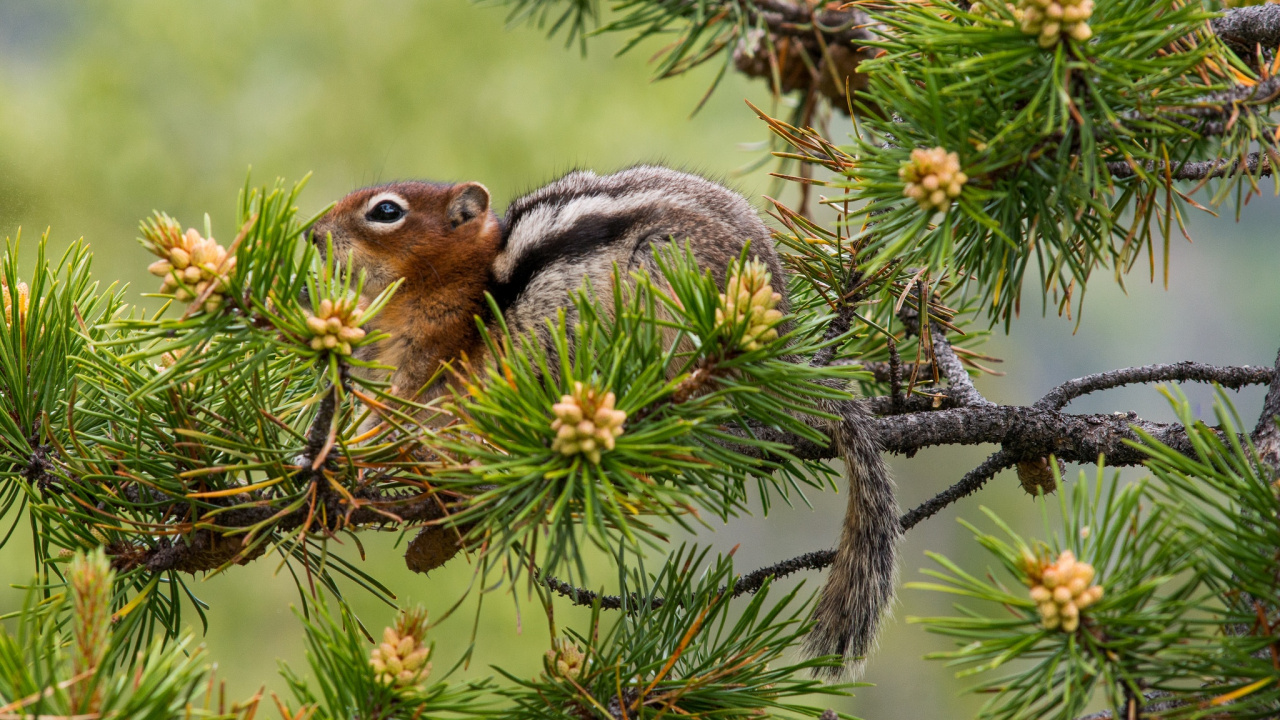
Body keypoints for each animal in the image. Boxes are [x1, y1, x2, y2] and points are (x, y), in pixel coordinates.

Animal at [309, 165, 898, 678]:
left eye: (386, 211)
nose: (312, 233)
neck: (465, 283)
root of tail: (782, 340)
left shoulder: (429, 371)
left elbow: (403, 424)